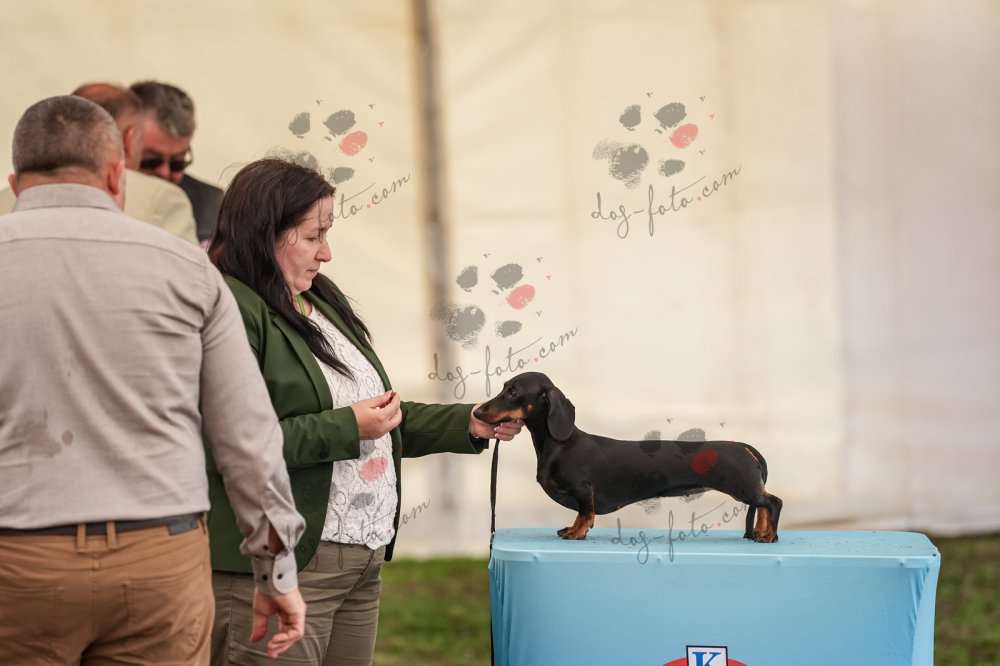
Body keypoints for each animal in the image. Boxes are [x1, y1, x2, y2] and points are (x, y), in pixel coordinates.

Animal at [474, 372, 782, 543]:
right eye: (504, 387)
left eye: (513, 392)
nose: (476, 412)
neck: (561, 445)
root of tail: (744, 447)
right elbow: (578, 515)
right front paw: (570, 529)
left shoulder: (583, 491)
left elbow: (585, 514)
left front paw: (577, 533)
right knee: (764, 507)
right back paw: (760, 533)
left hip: (743, 488)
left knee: (773, 503)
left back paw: (769, 536)